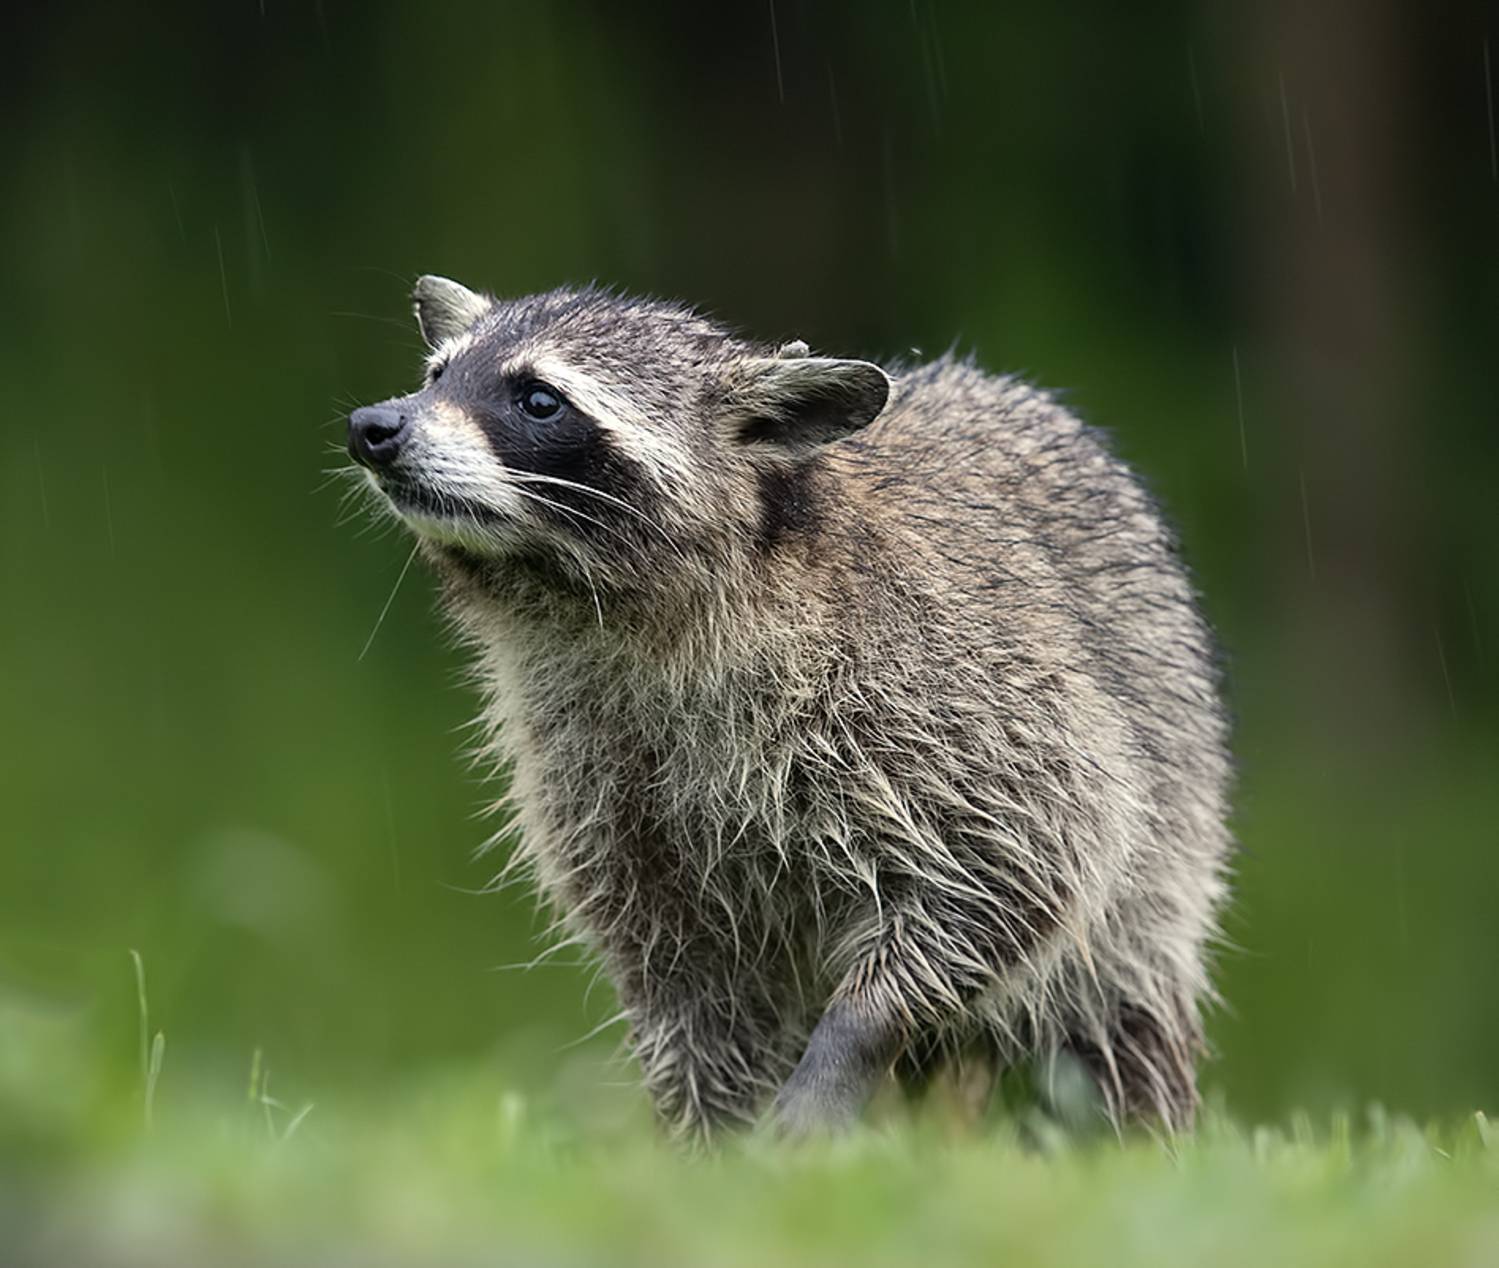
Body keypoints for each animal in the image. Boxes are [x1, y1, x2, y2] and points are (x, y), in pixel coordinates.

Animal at [347, 276, 1233, 1142]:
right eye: (437, 375)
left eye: (538, 399)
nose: (373, 425)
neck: (594, 607)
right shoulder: (599, 783)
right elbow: (688, 992)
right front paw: (709, 1146)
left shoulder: (950, 690)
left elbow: (1024, 857)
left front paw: (855, 1034)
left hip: (1163, 842)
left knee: (1110, 1017)